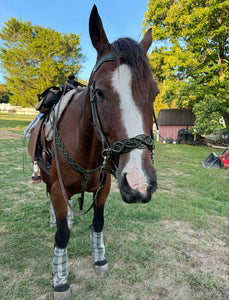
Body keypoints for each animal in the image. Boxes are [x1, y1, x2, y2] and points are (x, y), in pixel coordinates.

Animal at [35, 4, 158, 298]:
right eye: (100, 92)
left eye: (155, 93)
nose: (140, 183)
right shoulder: (58, 189)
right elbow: (62, 236)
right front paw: (60, 279)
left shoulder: (104, 189)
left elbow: (98, 223)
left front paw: (100, 259)